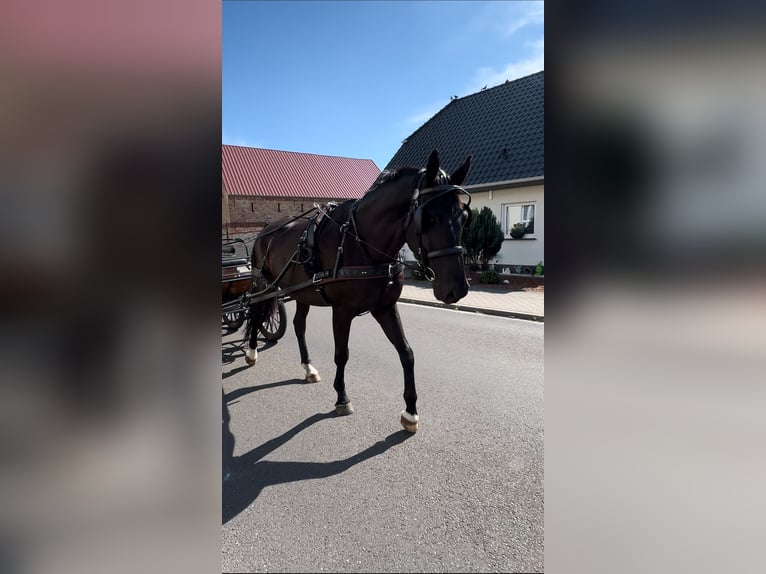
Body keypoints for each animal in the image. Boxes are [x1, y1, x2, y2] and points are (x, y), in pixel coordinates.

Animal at [246, 150, 474, 432]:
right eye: (430, 218)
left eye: (464, 217)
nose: (457, 289)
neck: (360, 243)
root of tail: (266, 230)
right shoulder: (342, 311)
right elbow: (342, 354)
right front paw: (342, 398)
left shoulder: (385, 308)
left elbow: (406, 353)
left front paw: (410, 412)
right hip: (263, 285)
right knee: (256, 312)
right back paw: (251, 352)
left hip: (302, 292)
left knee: (299, 325)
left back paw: (308, 368)